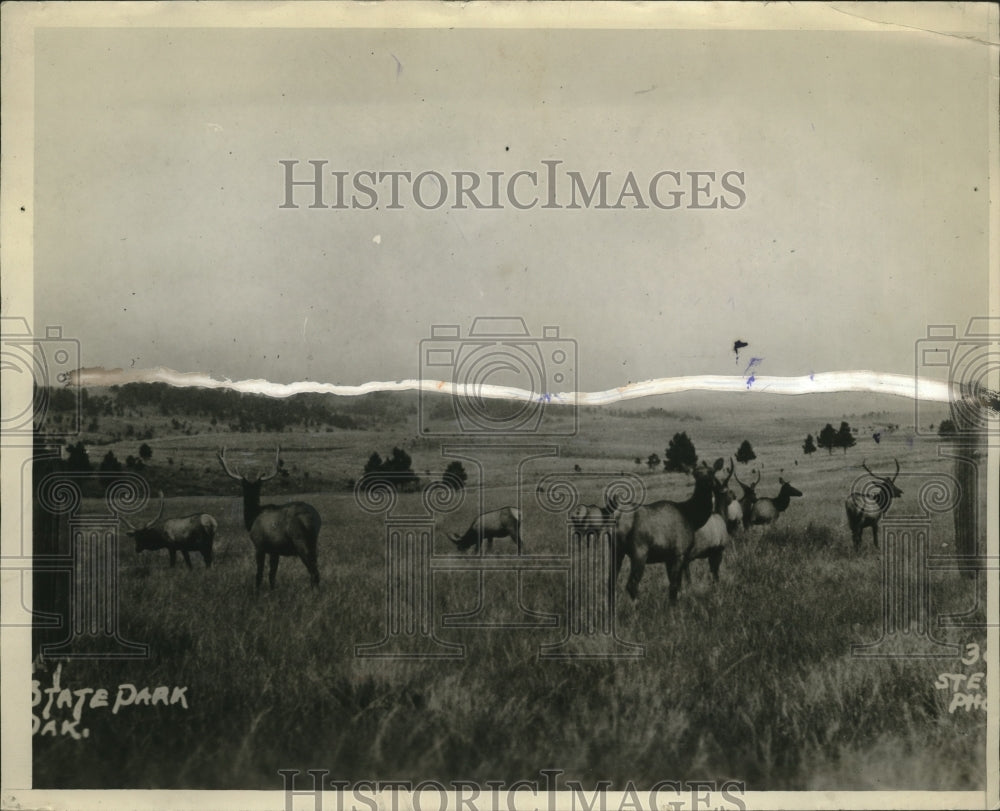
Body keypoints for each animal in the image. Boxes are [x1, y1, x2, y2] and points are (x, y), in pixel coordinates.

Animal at [218, 448, 320, 592]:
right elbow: (272, 574)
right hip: (313, 542)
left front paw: (257, 592)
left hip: (300, 540)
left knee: (314, 572)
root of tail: (313, 518)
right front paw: (272, 591)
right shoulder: (274, 550)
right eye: (245, 486)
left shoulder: (259, 545)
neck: (252, 518)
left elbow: (259, 574)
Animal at [612, 456, 724, 604]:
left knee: (610, 581)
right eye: (695, 474)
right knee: (632, 584)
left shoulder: (668, 557)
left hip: (617, 551)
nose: (705, 483)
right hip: (639, 551)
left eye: (711, 472)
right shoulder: (679, 553)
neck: (692, 518)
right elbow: (674, 586)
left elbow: (676, 585)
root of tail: (619, 516)